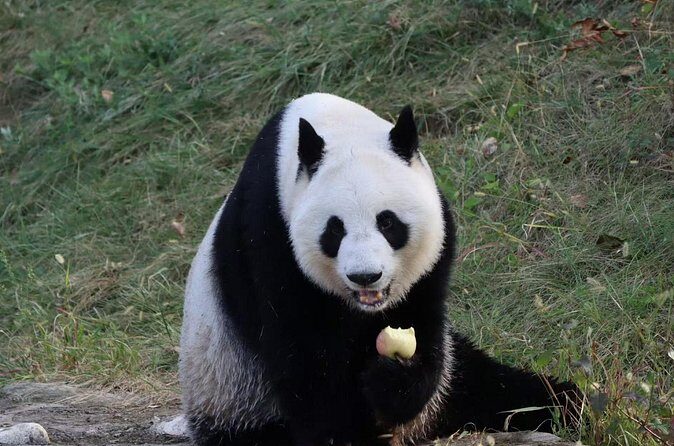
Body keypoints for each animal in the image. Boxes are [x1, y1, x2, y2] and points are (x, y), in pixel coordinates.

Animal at [179, 93, 579, 446]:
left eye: (387, 222)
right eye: (334, 229)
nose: (365, 276)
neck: (335, 125)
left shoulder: (436, 252)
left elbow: (423, 325)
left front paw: (390, 380)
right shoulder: (268, 237)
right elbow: (303, 355)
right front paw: (341, 435)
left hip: (457, 382)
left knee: (489, 385)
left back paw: (569, 404)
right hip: (231, 391)